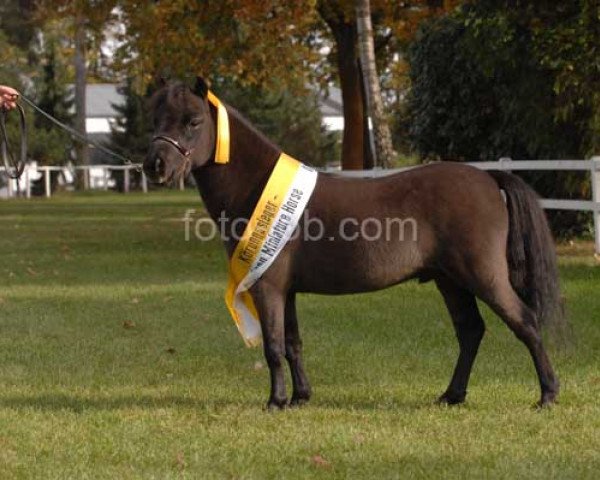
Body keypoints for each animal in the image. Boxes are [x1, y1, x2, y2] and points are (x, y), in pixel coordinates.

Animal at [143, 78, 564, 408]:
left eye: (193, 121)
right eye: (155, 120)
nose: (155, 166)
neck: (259, 187)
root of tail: (487, 178)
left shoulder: (268, 285)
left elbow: (274, 346)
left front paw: (276, 401)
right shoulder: (287, 289)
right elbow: (293, 343)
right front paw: (300, 397)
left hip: (482, 275)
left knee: (524, 322)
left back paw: (547, 394)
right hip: (451, 281)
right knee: (471, 331)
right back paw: (452, 395)